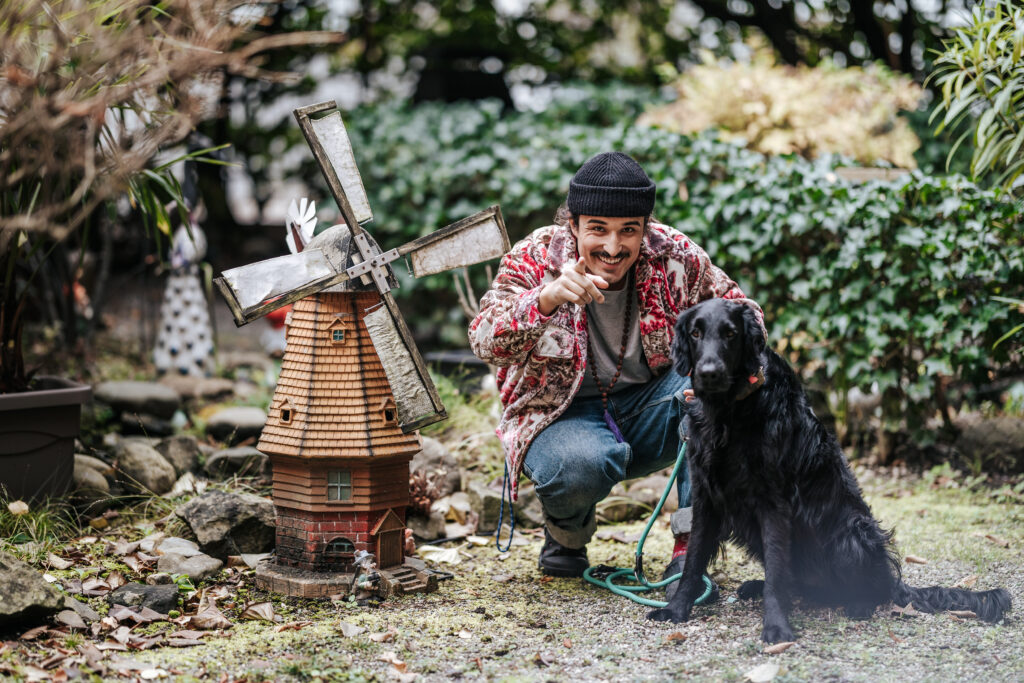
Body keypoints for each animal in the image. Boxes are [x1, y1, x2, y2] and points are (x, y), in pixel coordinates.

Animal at [647, 296, 1007, 643]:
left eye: (730, 333)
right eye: (696, 333)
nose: (708, 372)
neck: (729, 411)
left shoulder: (772, 502)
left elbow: (775, 573)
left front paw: (776, 627)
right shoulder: (706, 497)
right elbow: (693, 563)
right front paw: (676, 609)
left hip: (851, 531)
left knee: (868, 590)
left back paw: (859, 605)